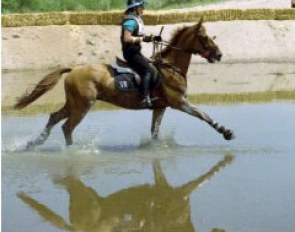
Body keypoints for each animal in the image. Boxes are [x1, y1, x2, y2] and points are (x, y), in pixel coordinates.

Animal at [13, 17, 236, 147]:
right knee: (67, 127)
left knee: (54, 117)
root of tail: (73, 70)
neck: (171, 67)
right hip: (83, 106)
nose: (218, 54)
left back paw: (36, 142)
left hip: (74, 103)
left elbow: (155, 131)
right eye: (204, 37)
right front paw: (226, 132)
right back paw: (71, 151)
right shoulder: (179, 102)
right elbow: (203, 115)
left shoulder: (160, 107)